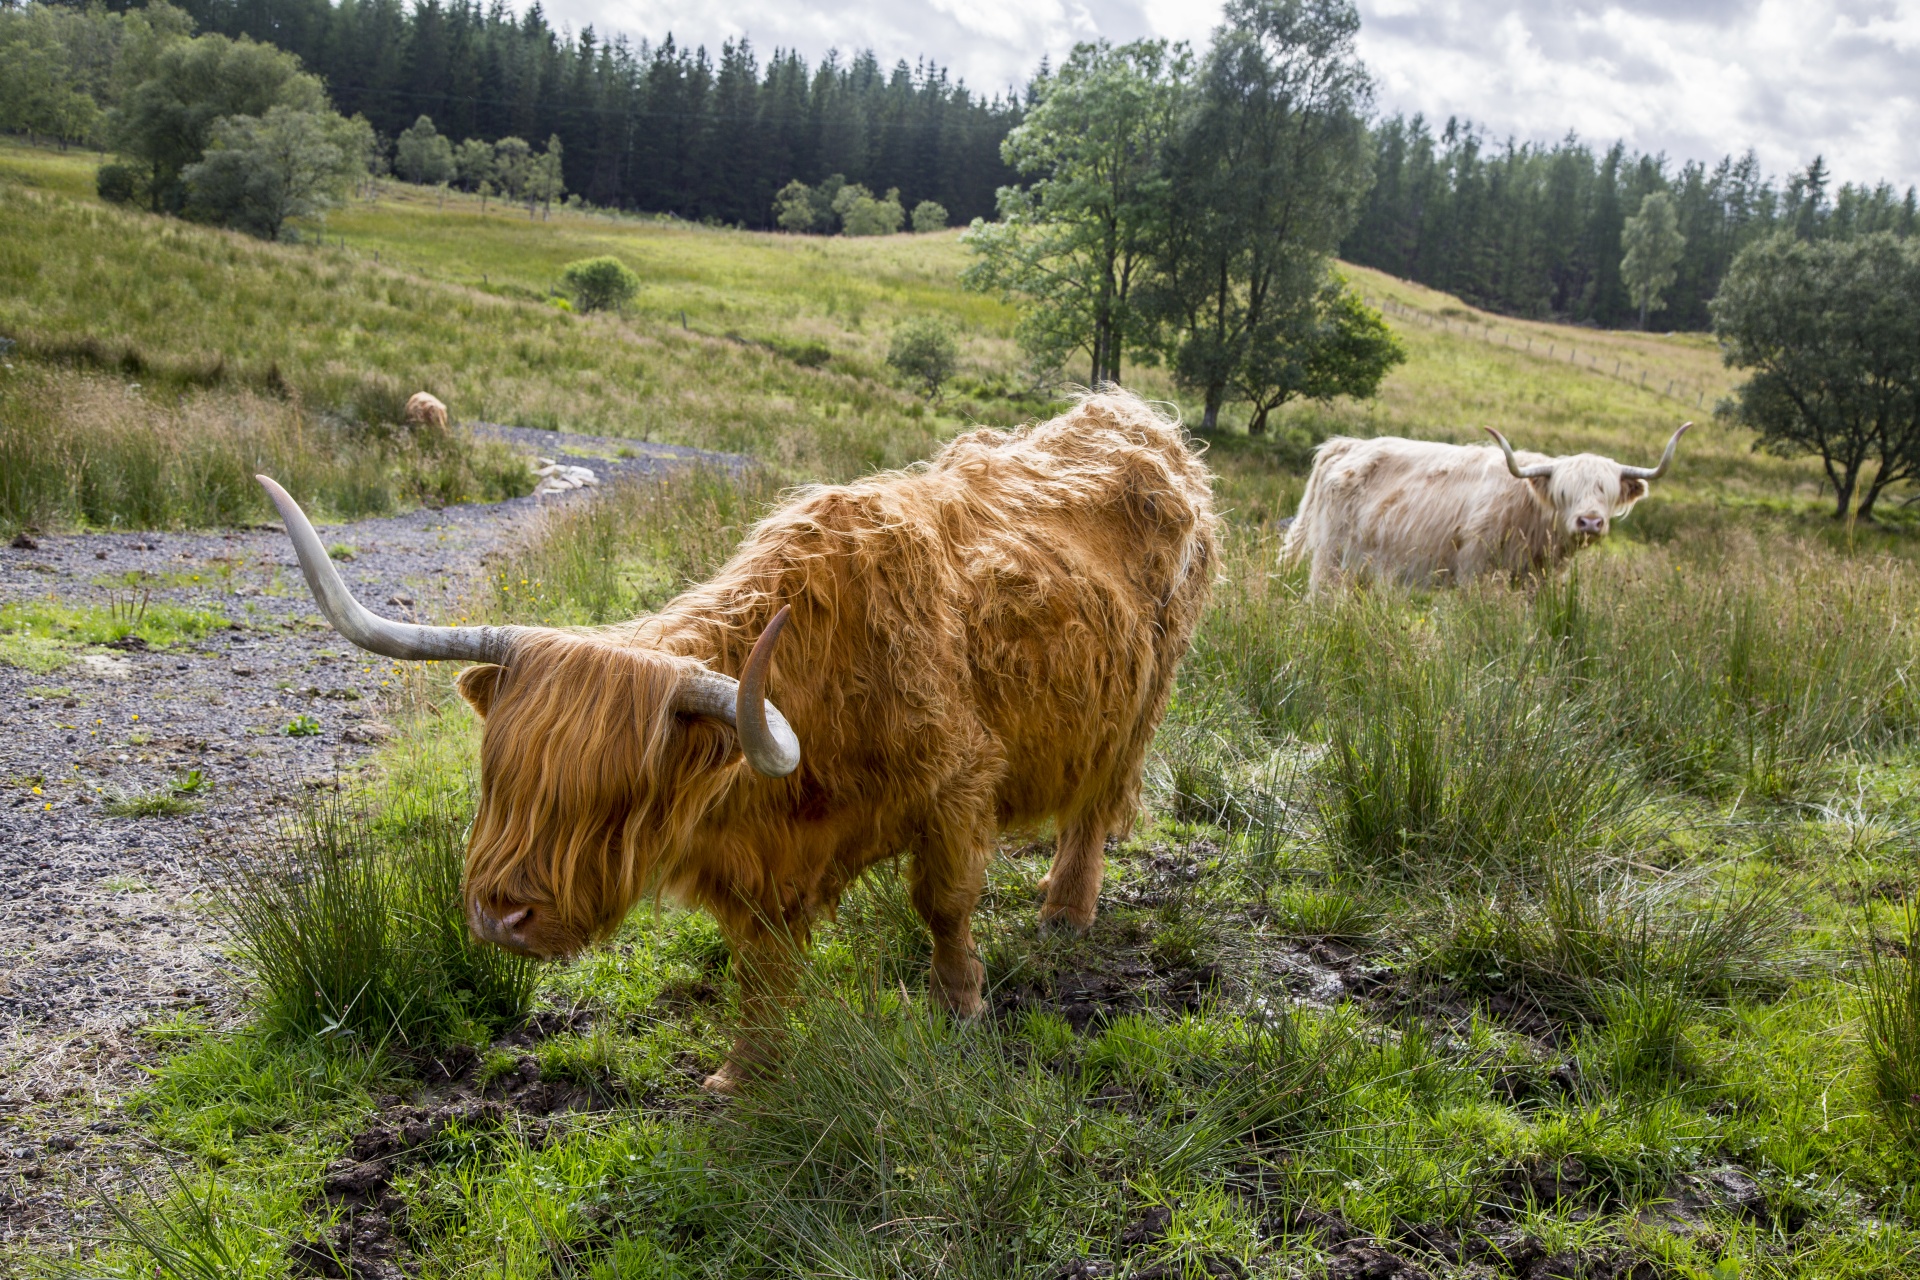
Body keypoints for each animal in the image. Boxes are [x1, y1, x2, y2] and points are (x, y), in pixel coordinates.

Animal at [1282, 427, 1689, 594]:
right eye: (1564, 492)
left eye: (1607, 490)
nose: (1590, 521)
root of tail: (1349, 445)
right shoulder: (1474, 570)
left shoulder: (1533, 582)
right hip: (1332, 558)